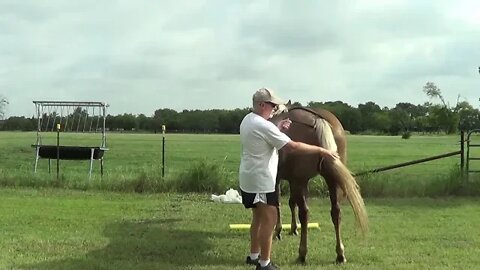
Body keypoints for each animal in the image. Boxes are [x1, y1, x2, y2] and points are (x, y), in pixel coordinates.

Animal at [270, 105, 368, 264]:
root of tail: (317, 120)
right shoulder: (292, 180)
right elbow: (291, 203)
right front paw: (292, 229)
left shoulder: (282, 179)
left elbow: (278, 203)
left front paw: (278, 231)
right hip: (331, 179)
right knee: (336, 212)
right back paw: (340, 254)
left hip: (301, 181)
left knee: (304, 213)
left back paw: (302, 254)